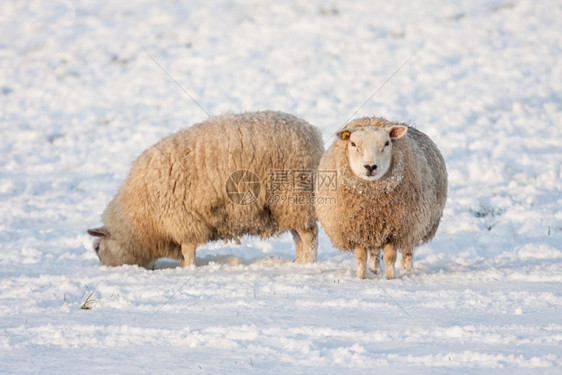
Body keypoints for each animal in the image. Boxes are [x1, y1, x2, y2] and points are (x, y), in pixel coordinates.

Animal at [88, 110, 324, 268]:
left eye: (97, 248)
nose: (105, 269)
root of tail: (312, 133)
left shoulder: (181, 220)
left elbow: (188, 250)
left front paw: (185, 268)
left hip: (292, 194)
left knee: (309, 235)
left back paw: (307, 264)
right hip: (288, 204)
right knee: (298, 235)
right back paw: (298, 262)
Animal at [316, 117, 446, 280]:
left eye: (386, 143)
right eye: (353, 144)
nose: (370, 167)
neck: (372, 204)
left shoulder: (397, 230)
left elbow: (390, 257)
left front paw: (390, 278)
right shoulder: (356, 230)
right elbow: (360, 258)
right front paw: (361, 277)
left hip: (413, 225)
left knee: (407, 250)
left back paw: (406, 270)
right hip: (376, 231)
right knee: (374, 252)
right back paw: (374, 269)